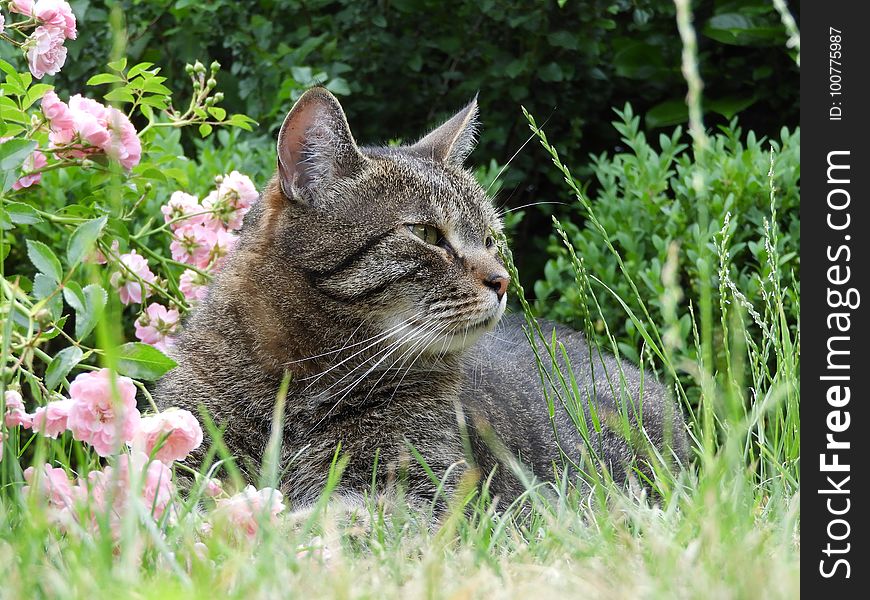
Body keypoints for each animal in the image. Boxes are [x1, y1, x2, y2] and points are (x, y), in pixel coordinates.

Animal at [155, 88, 688, 510]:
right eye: (428, 234)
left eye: (491, 240)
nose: (502, 281)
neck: (299, 378)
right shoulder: (182, 458)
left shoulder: (412, 492)